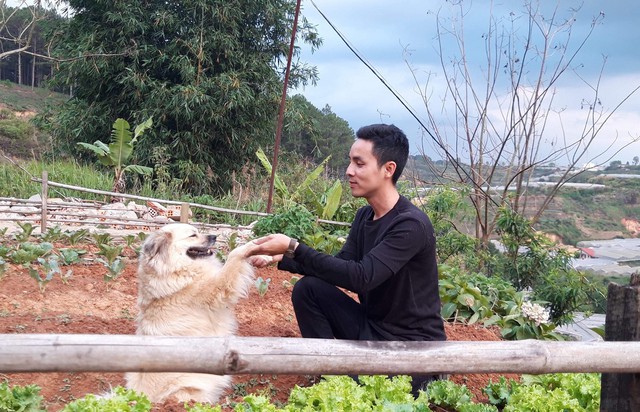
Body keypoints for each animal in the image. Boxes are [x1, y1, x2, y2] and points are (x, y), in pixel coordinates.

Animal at [125, 224, 260, 404]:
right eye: (192, 235)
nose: (214, 236)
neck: (175, 269)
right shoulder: (218, 287)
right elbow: (233, 256)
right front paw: (251, 245)